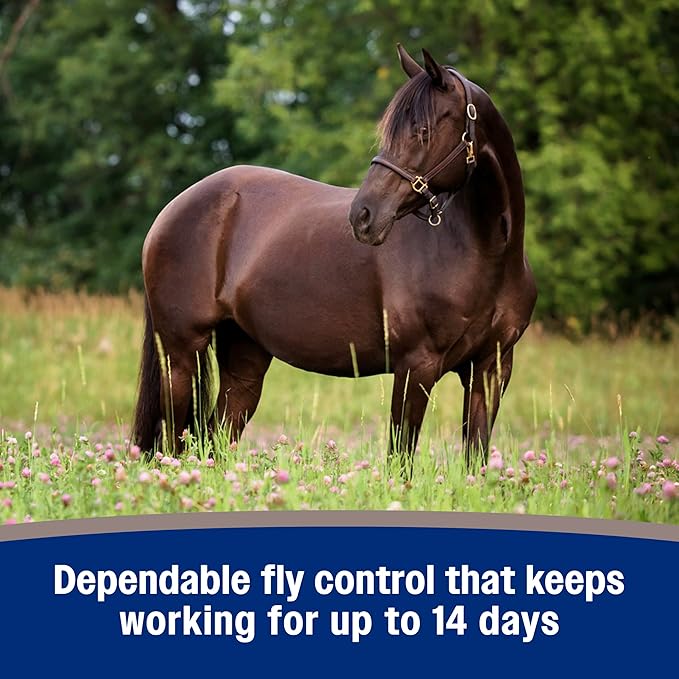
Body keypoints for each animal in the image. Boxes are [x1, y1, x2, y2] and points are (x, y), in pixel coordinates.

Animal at [132, 44, 536, 470]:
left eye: (423, 131)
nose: (364, 215)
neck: (486, 254)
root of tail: (172, 210)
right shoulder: (416, 366)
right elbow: (400, 458)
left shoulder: (490, 370)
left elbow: (476, 456)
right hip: (181, 355)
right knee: (173, 441)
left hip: (244, 357)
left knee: (218, 438)